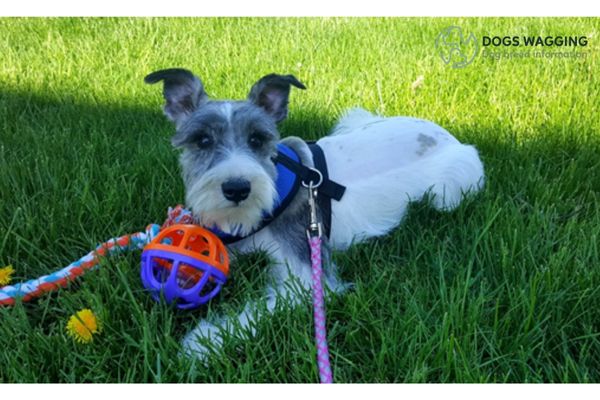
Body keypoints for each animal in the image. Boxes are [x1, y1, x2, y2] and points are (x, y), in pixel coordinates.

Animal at [144, 68, 482, 360]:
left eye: (257, 139)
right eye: (202, 140)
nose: (237, 189)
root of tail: (450, 135)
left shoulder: (308, 281)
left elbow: (257, 312)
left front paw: (202, 343)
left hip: (448, 192)